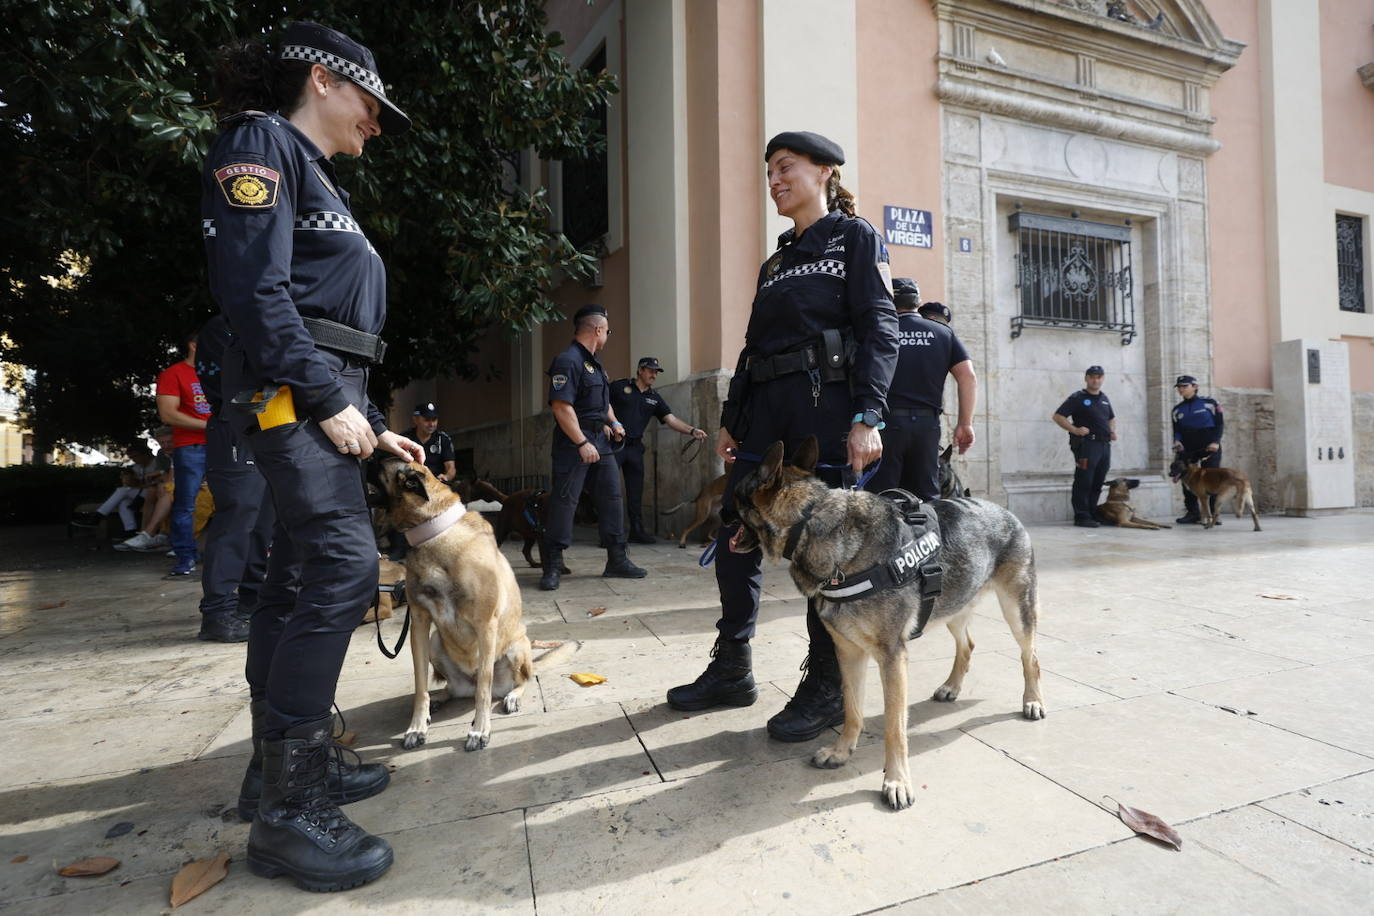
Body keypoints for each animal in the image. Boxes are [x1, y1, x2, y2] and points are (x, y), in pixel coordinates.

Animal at [370, 458, 574, 752]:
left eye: (376, 462)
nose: (360, 456)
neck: (434, 532)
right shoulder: (419, 624)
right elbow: (420, 687)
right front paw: (417, 726)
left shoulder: (485, 626)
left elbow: (484, 690)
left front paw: (480, 730)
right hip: (435, 641)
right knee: (451, 689)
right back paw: (440, 699)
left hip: (517, 647)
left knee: (520, 680)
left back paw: (512, 696)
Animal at [730, 439, 1038, 813]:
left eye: (733, 496)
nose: (715, 514)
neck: (813, 524)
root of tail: (1003, 510)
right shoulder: (848, 652)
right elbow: (852, 710)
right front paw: (841, 752)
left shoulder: (892, 657)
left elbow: (895, 727)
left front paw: (896, 781)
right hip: (953, 606)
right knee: (967, 645)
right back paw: (952, 687)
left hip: (1016, 610)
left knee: (1030, 657)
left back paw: (1033, 701)